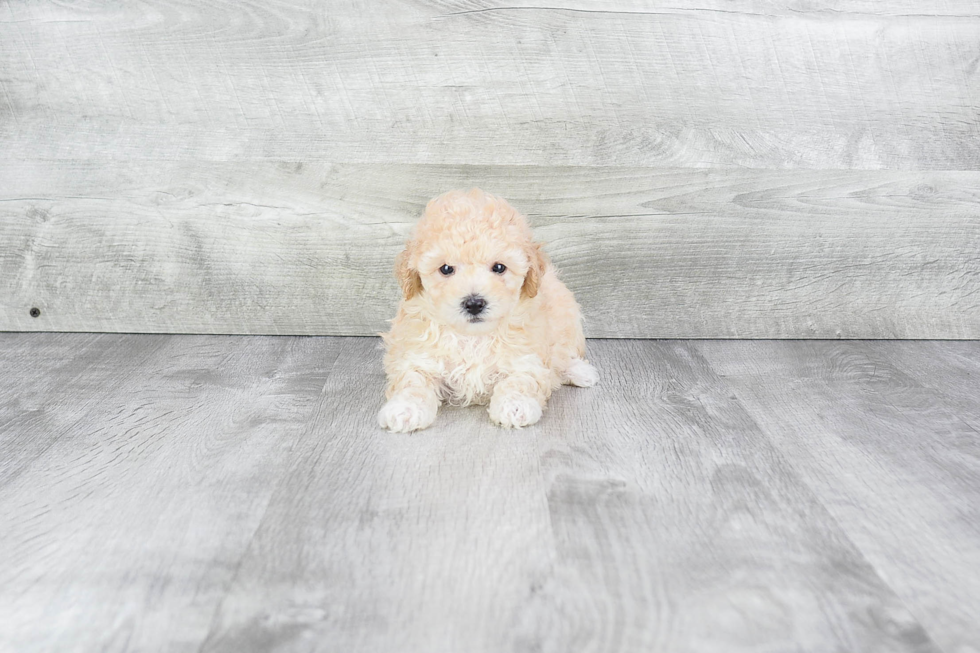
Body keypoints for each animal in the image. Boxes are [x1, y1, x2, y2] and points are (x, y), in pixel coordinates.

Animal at [378, 188, 596, 432]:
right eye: (446, 269)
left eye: (499, 267)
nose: (474, 303)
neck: (473, 338)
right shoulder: (417, 355)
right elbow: (412, 381)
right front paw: (404, 409)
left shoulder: (526, 357)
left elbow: (521, 380)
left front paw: (515, 405)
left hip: (566, 316)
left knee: (563, 354)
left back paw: (579, 371)